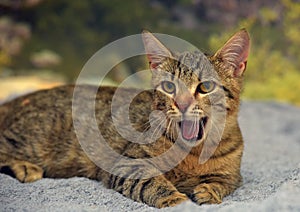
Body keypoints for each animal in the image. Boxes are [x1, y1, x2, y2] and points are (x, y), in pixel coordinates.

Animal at [0, 29, 250, 209]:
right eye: (169, 87)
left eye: (205, 87)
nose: (182, 104)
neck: (192, 154)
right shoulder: (128, 164)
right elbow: (153, 183)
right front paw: (176, 200)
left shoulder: (232, 176)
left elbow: (222, 182)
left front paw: (208, 191)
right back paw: (24, 166)